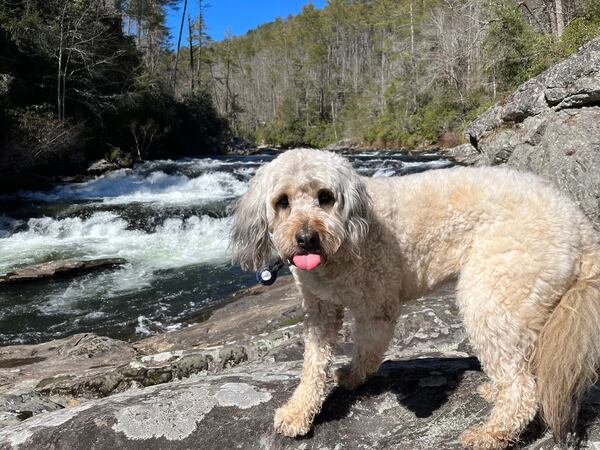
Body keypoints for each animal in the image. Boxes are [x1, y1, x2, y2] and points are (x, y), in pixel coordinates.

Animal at [230, 149, 600, 448]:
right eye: (282, 201)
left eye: (325, 197)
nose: (307, 238)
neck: (342, 244)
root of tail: (581, 226)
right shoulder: (320, 310)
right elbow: (312, 364)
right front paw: (298, 411)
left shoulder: (376, 307)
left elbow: (367, 351)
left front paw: (352, 376)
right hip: (524, 303)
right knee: (525, 368)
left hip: (492, 295)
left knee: (523, 389)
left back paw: (490, 434)